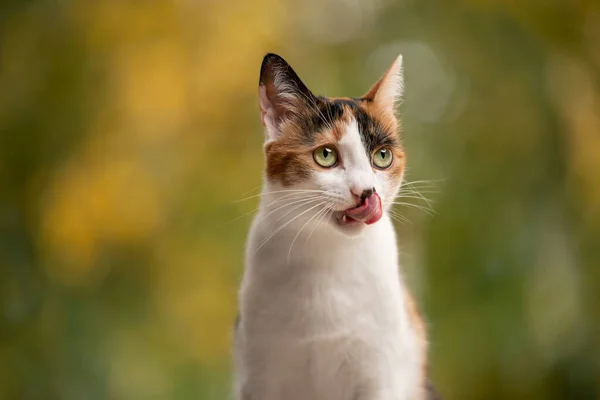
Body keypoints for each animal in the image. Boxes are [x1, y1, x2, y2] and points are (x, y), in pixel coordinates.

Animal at [234, 53, 440, 400]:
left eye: (382, 157)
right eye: (326, 155)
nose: (366, 192)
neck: (329, 251)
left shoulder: (379, 374)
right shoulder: (259, 375)